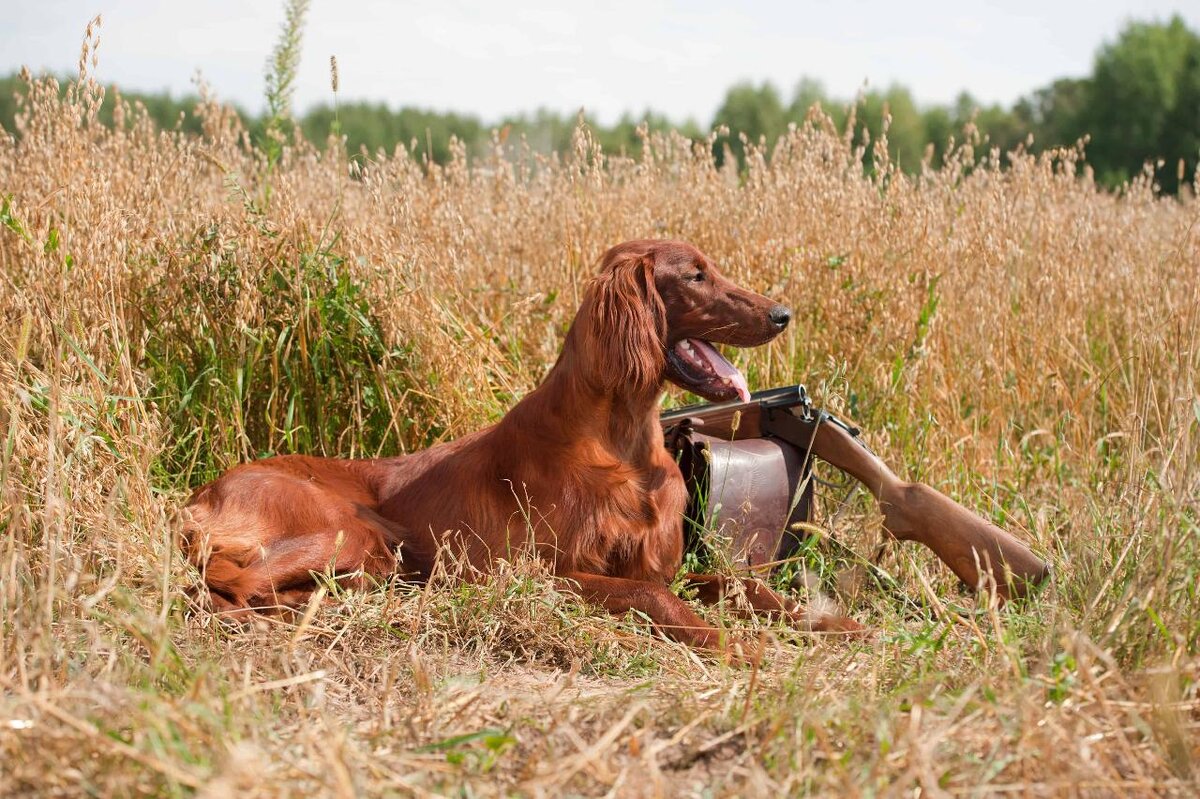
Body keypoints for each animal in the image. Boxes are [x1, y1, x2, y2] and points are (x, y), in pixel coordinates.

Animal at [182, 239, 864, 657]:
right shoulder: (544, 574)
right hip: (351, 531)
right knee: (230, 586)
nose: (782, 314)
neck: (621, 441)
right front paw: (733, 643)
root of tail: (202, 494)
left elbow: (738, 584)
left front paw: (827, 619)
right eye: (696, 275)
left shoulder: (659, 564)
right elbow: (655, 597)